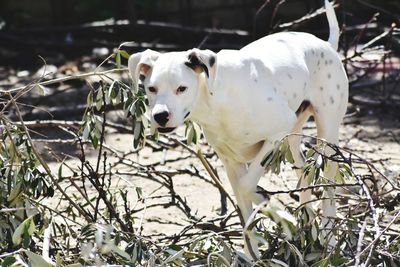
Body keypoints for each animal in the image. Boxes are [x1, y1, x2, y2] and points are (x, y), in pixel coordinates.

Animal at [128, 0, 346, 260]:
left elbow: (247, 187)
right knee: (305, 174)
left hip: (327, 136)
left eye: (182, 88)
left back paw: (330, 243)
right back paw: (307, 229)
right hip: (294, 137)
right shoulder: (230, 162)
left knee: (328, 188)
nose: (160, 116)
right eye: (151, 88)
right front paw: (253, 256)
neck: (216, 100)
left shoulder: (275, 133)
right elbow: (244, 211)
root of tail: (326, 44)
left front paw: (268, 202)